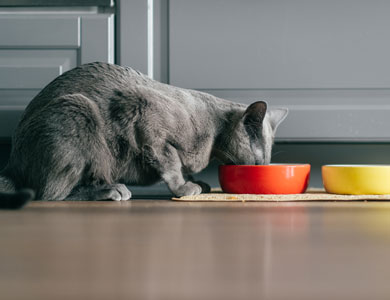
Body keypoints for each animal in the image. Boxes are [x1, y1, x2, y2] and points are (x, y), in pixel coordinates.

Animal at [0, 62, 286, 209]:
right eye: (258, 163)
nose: (261, 167)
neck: (213, 139)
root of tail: (11, 164)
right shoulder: (147, 118)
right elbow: (171, 163)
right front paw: (185, 188)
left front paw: (197, 182)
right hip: (77, 110)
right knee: (49, 193)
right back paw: (110, 190)